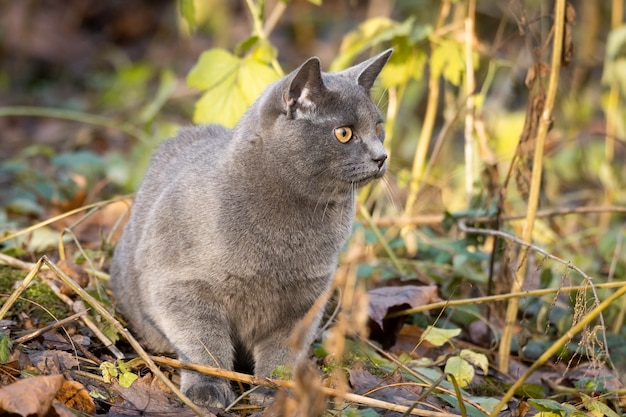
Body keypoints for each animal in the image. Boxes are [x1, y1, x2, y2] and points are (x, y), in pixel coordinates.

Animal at [109, 49, 388, 406]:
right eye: (344, 133)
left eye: (378, 128)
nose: (382, 156)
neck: (287, 234)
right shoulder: (181, 285)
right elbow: (204, 342)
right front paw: (208, 388)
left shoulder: (304, 301)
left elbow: (282, 353)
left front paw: (273, 391)